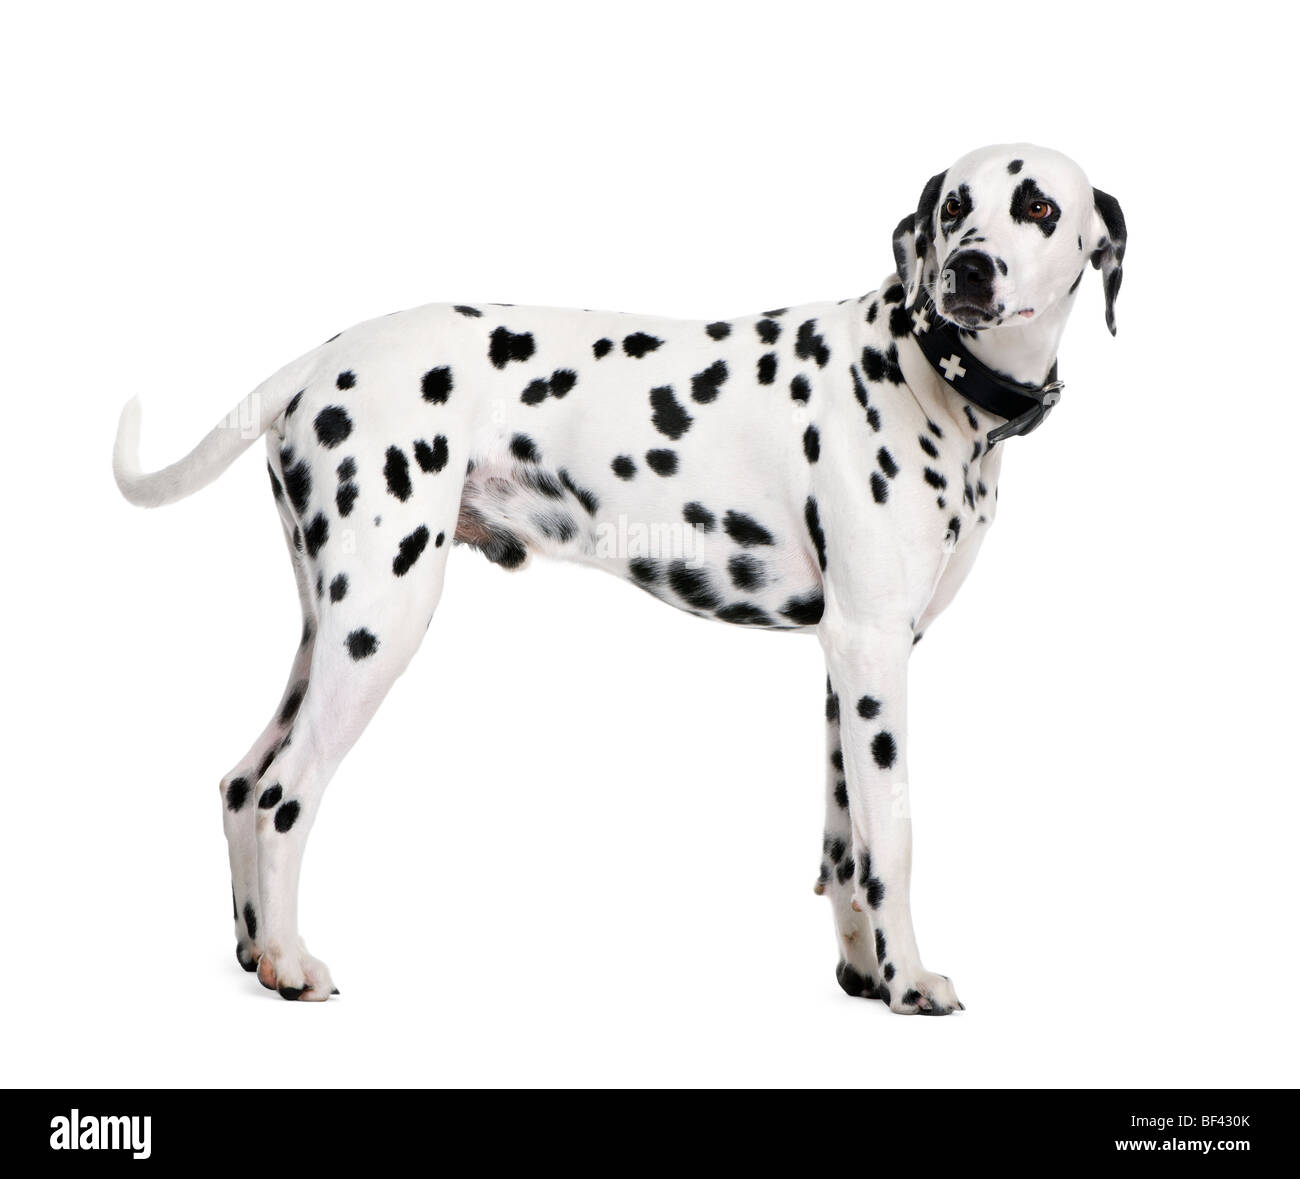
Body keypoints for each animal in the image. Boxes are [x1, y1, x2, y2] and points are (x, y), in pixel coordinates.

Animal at [114, 144, 1128, 1013]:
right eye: (956, 206)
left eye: (1038, 207)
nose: (969, 270)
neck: (925, 373)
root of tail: (322, 355)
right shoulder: (876, 655)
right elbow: (896, 840)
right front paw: (911, 981)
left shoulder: (850, 665)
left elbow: (846, 844)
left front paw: (865, 972)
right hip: (378, 625)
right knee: (283, 792)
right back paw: (291, 962)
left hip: (327, 631)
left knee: (241, 781)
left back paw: (257, 949)